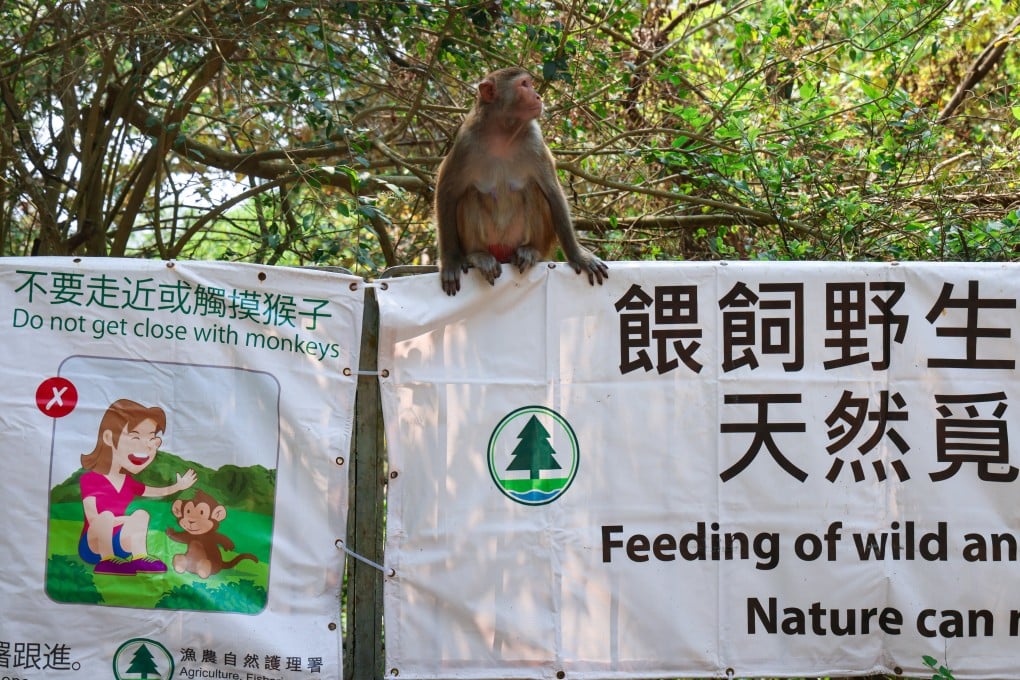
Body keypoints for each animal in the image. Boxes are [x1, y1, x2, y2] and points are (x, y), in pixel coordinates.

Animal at [434, 67, 608, 295]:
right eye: (524, 84)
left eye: (530, 83)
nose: (538, 96)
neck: (503, 132)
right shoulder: (465, 142)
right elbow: (447, 192)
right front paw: (451, 261)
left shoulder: (535, 140)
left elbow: (553, 193)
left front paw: (579, 256)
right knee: (469, 194)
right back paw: (478, 255)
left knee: (533, 190)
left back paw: (530, 251)